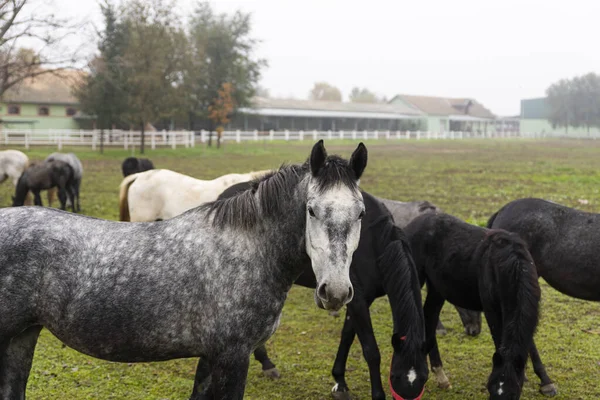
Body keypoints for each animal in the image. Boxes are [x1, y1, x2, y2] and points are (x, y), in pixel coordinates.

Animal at [213, 182, 428, 400]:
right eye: (395, 377)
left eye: (423, 378)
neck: (374, 242)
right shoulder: (358, 300)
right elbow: (371, 350)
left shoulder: (356, 300)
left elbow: (347, 336)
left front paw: (340, 382)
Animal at [406, 214, 552, 398]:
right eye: (490, 389)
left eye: (514, 394)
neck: (509, 265)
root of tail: (414, 223)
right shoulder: (492, 310)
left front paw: (544, 381)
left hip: (437, 288)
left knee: (429, 317)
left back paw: (440, 376)